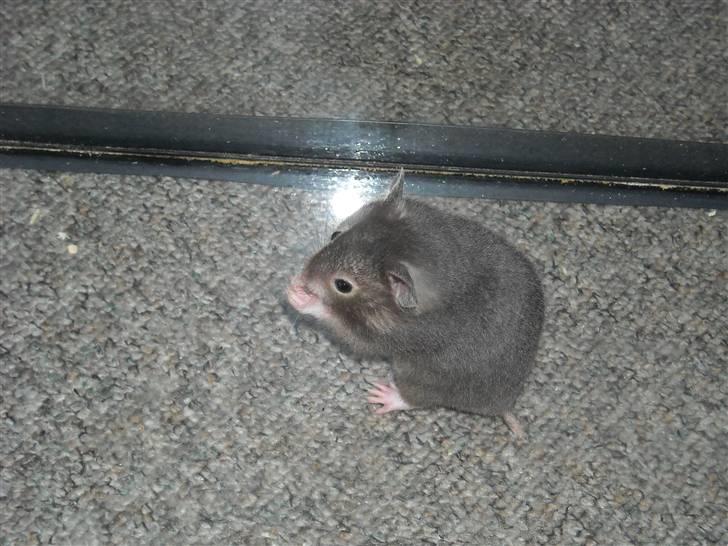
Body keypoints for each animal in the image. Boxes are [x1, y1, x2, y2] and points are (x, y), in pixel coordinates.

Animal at [287, 169, 544, 436]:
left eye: (343, 285)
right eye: (335, 235)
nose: (302, 278)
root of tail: (504, 404)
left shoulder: (388, 335)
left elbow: (341, 324)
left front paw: (297, 295)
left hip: (415, 374)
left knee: (417, 400)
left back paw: (383, 395)